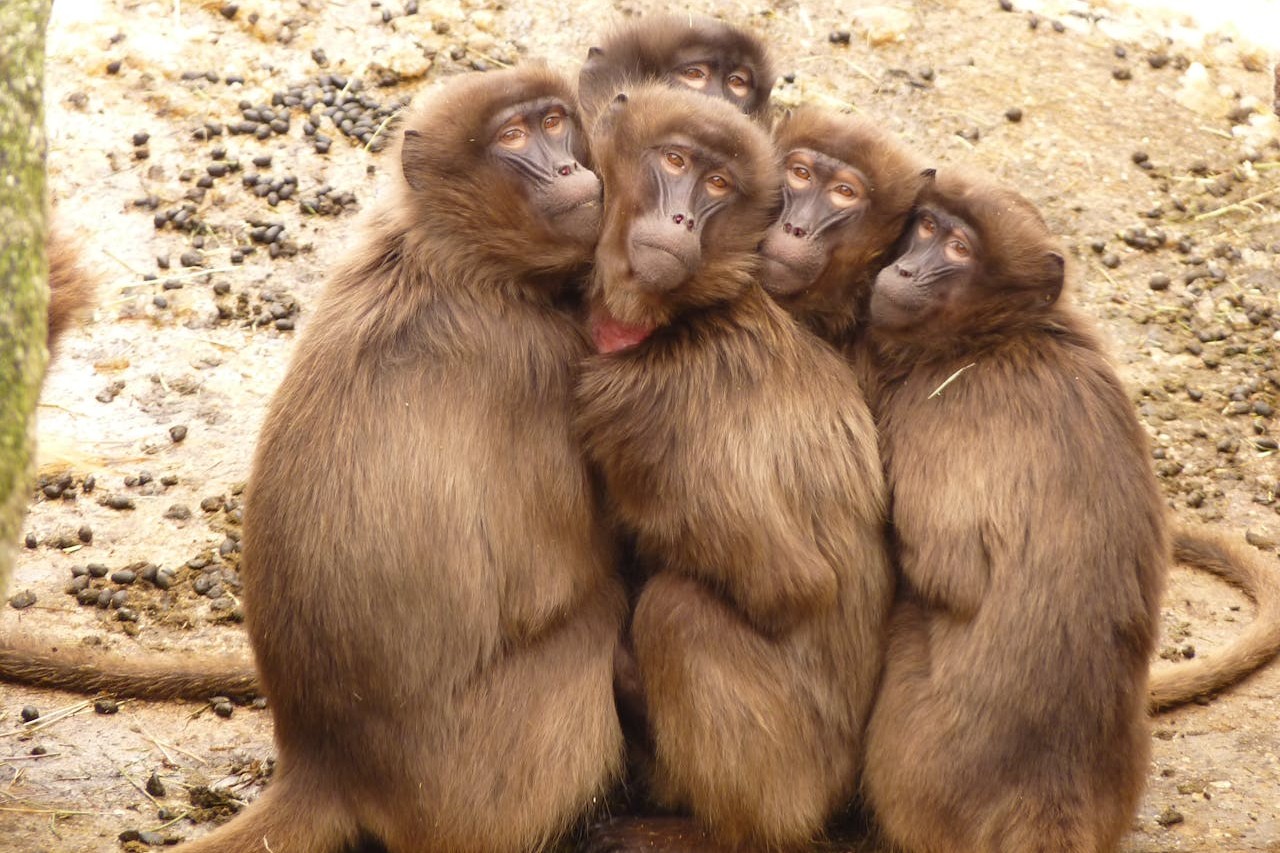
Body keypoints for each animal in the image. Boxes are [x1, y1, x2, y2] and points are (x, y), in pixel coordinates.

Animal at [574, 84, 893, 850]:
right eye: (676, 161)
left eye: (717, 184)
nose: (682, 216)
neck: (680, 318)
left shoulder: (653, 410)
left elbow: (790, 586)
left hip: (796, 770)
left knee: (678, 611)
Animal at [859, 167, 1166, 852]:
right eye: (926, 226)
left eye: (958, 250)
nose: (906, 269)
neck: (1001, 335)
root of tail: (1047, 790)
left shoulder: (938, 410)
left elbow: (948, 573)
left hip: (920, 758)